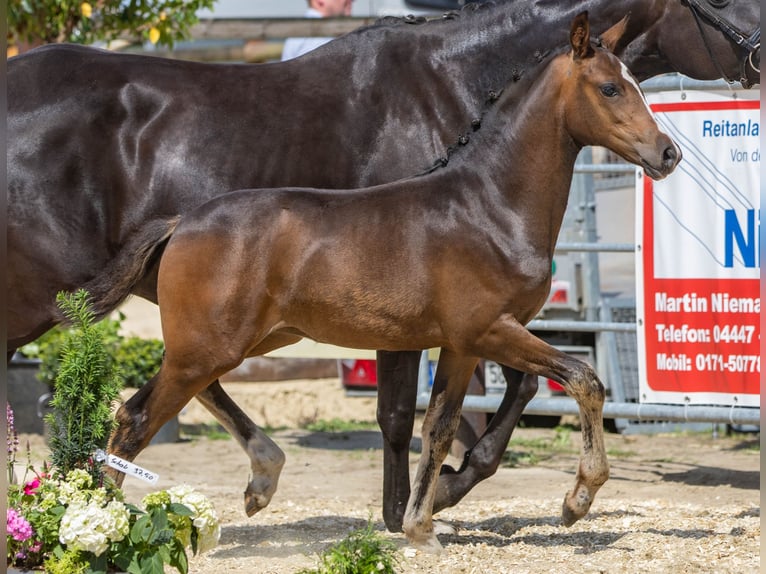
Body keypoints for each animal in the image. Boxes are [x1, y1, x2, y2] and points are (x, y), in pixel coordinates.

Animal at [6, 0, 760, 532]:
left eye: (634, 80)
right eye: (609, 88)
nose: (667, 154)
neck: (486, 200)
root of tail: (182, 220)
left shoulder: (464, 342)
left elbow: (445, 423)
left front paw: (427, 514)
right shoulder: (484, 330)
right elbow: (578, 379)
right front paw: (572, 500)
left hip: (226, 341)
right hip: (168, 335)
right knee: (134, 419)